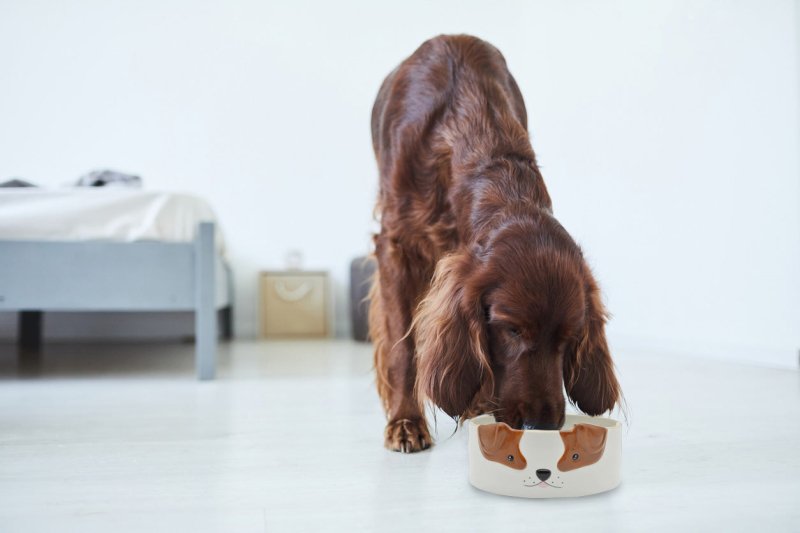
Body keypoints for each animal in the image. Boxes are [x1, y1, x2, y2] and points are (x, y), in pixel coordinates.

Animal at [368, 35, 620, 454]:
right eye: (511, 330)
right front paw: (405, 420)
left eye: (570, 337)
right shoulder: (396, 245)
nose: (541, 426)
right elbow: (403, 346)